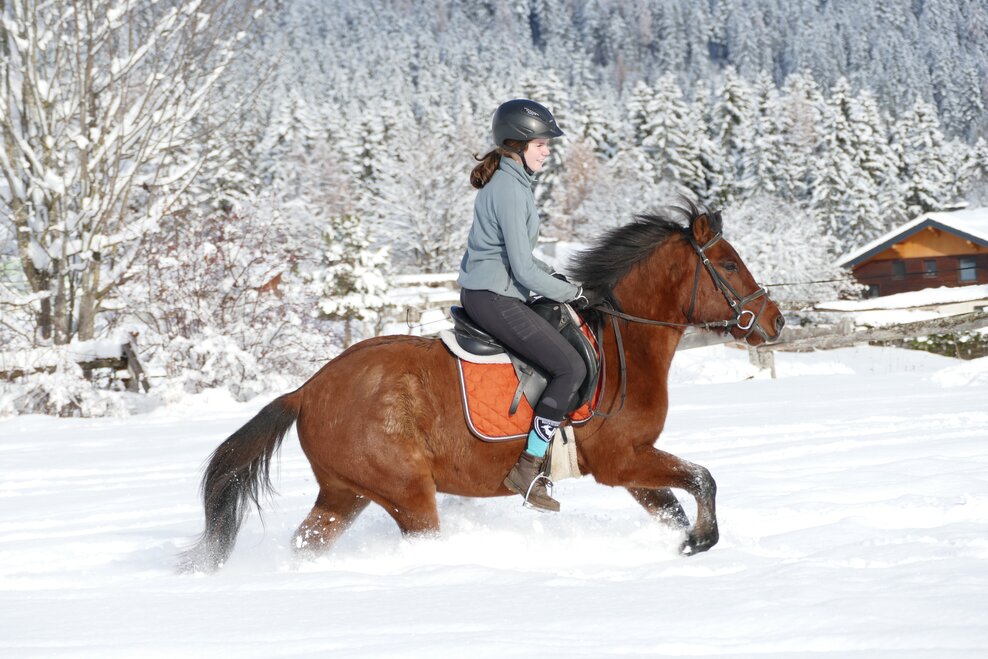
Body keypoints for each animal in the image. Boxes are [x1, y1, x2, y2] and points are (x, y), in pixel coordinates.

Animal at [183, 202, 788, 572]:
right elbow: (703, 479)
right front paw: (700, 542)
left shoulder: (630, 464)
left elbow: (672, 506)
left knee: (307, 543)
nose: (775, 321)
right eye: (728, 266)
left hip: (343, 494)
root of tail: (306, 391)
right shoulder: (623, 460)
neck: (623, 344)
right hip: (407, 494)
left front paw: (683, 543)